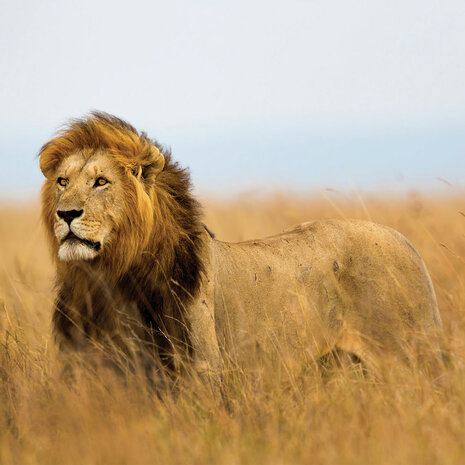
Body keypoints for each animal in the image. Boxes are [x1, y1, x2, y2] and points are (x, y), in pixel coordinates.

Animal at [38, 111, 440, 380]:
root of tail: (406, 242)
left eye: (101, 181)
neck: (107, 278)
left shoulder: (199, 373)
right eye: (62, 181)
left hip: (412, 358)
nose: (66, 214)